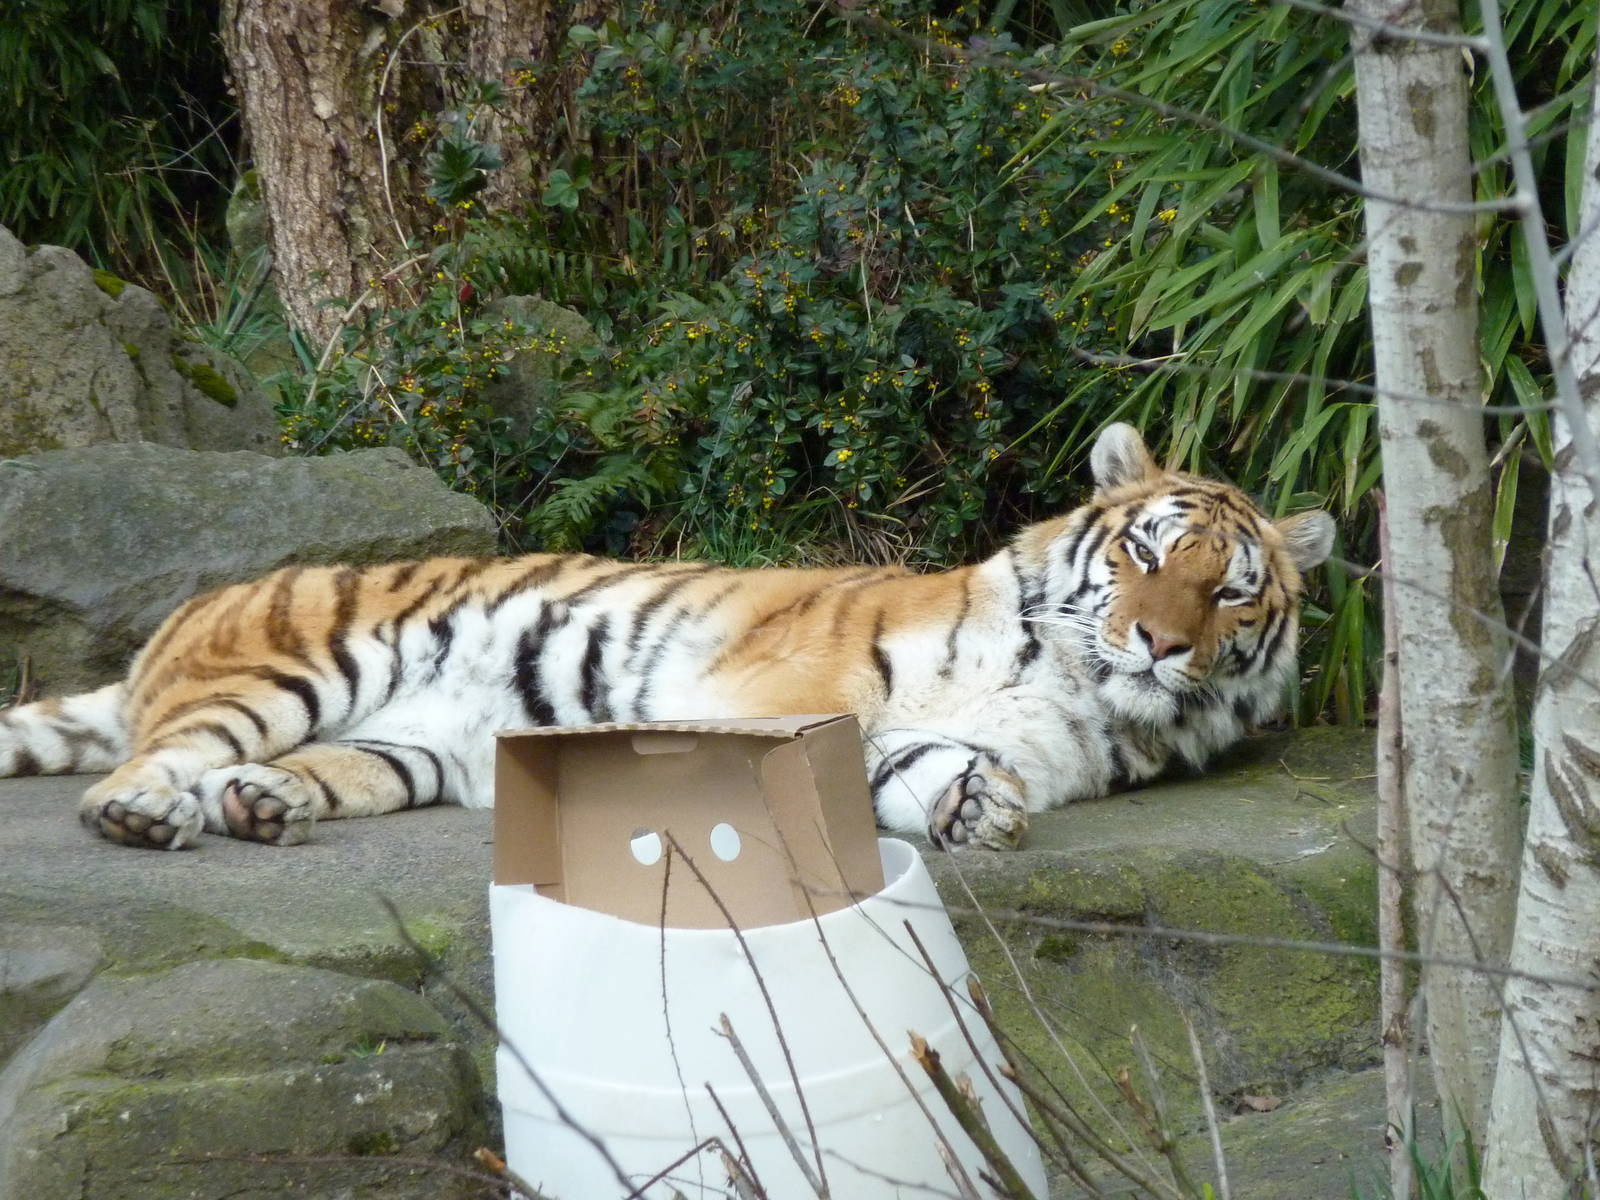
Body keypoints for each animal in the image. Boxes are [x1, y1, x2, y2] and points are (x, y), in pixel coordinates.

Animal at [0, 423, 1333, 852]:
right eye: (1147, 555)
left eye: (1228, 594)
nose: (1158, 646)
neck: (1075, 684)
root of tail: (173, 623)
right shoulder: (781, 687)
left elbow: (923, 769)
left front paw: (971, 807)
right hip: (291, 664)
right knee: (152, 759)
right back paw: (145, 814)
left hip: (407, 747)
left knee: (287, 772)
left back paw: (262, 806)